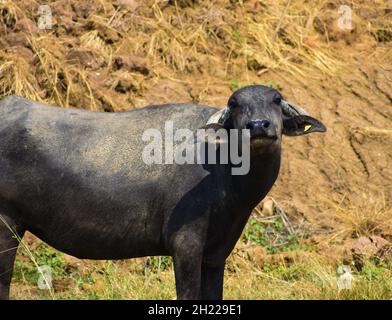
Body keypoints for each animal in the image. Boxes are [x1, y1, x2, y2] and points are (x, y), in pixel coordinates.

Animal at [0, 84, 324, 298]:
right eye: (234, 104)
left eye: (276, 99)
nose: (258, 126)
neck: (223, 172)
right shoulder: (185, 245)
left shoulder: (217, 253)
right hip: (7, 225)